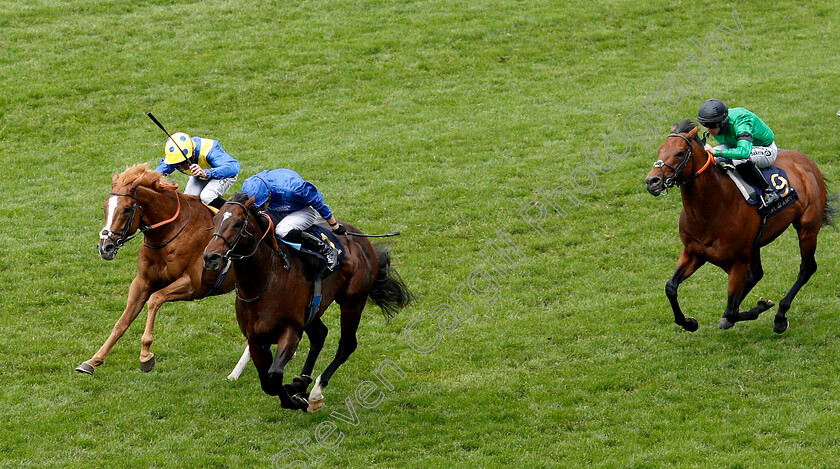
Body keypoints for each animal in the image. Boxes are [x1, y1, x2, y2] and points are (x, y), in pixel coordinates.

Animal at [76, 164, 236, 372]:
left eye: (126, 209)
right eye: (104, 207)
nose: (105, 248)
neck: (170, 232)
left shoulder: (191, 284)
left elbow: (155, 299)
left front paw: (145, 355)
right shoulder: (142, 282)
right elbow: (122, 322)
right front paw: (93, 360)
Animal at [203, 192, 414, 412]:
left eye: (237, 223)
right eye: (215, 221)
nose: (210, 257)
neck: (264, 283)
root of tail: (362, 240)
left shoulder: (291, 331)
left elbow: (274, 375)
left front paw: (296, 400)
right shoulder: (255, 339)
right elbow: (267, 383)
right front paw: (295, 391)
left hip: (353, 301)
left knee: (347, 344)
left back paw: (315, 393)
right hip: (312, 312)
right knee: (320, 335)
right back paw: (301, 382)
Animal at [644, 120, 832, 332]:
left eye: (679, 153)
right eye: (660, 150)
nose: (652, 181)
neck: (711, 209)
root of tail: (806, 161)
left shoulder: (738, 262)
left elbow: (733, 311)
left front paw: (761, 306)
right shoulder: (693, 253)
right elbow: (670, 287)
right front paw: (689, 322)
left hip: (807, 228)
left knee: (807, 267)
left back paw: (780, 316)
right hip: (755, 244)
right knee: (757, 274)